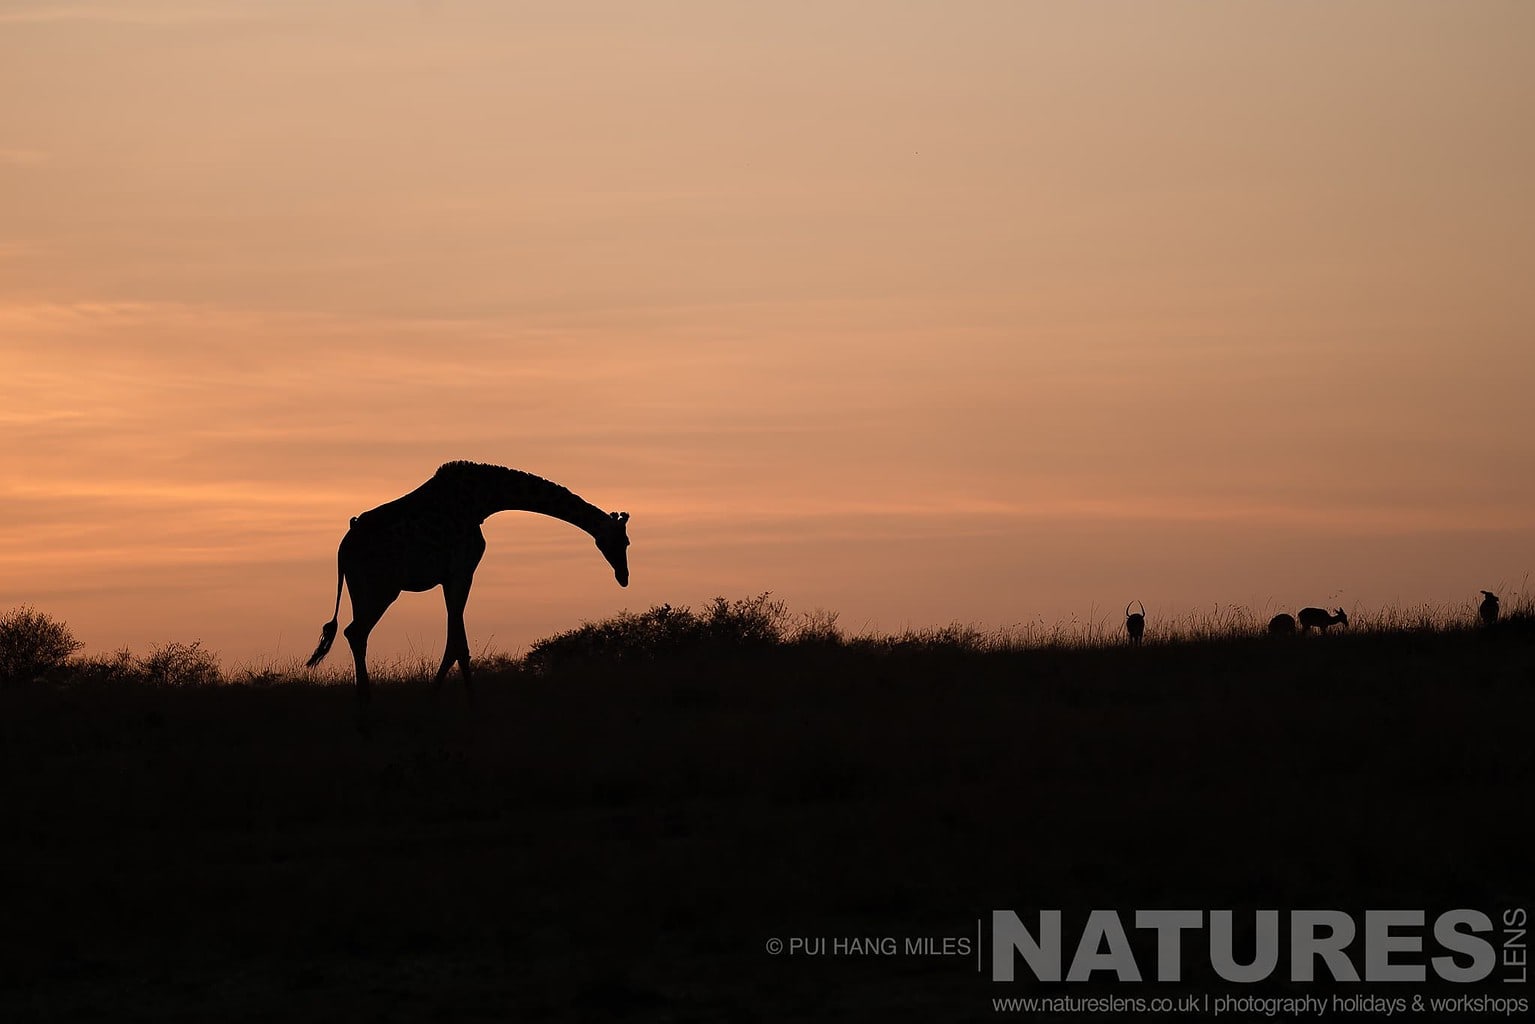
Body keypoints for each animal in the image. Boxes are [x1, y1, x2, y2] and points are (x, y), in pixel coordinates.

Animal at [305, 461, 630, 711]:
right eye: (623, 541)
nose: (624, 577)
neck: (484, 500)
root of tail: (343, 548)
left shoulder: (452, 576)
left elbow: (455, 642)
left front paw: (439, 699)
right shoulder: (462, 571)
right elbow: (458, 644)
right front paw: (465, 705)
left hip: (361, 589)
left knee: (354, 633)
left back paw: (363, 706)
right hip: (382, 588)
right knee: (357, 632)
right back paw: (366, 709)